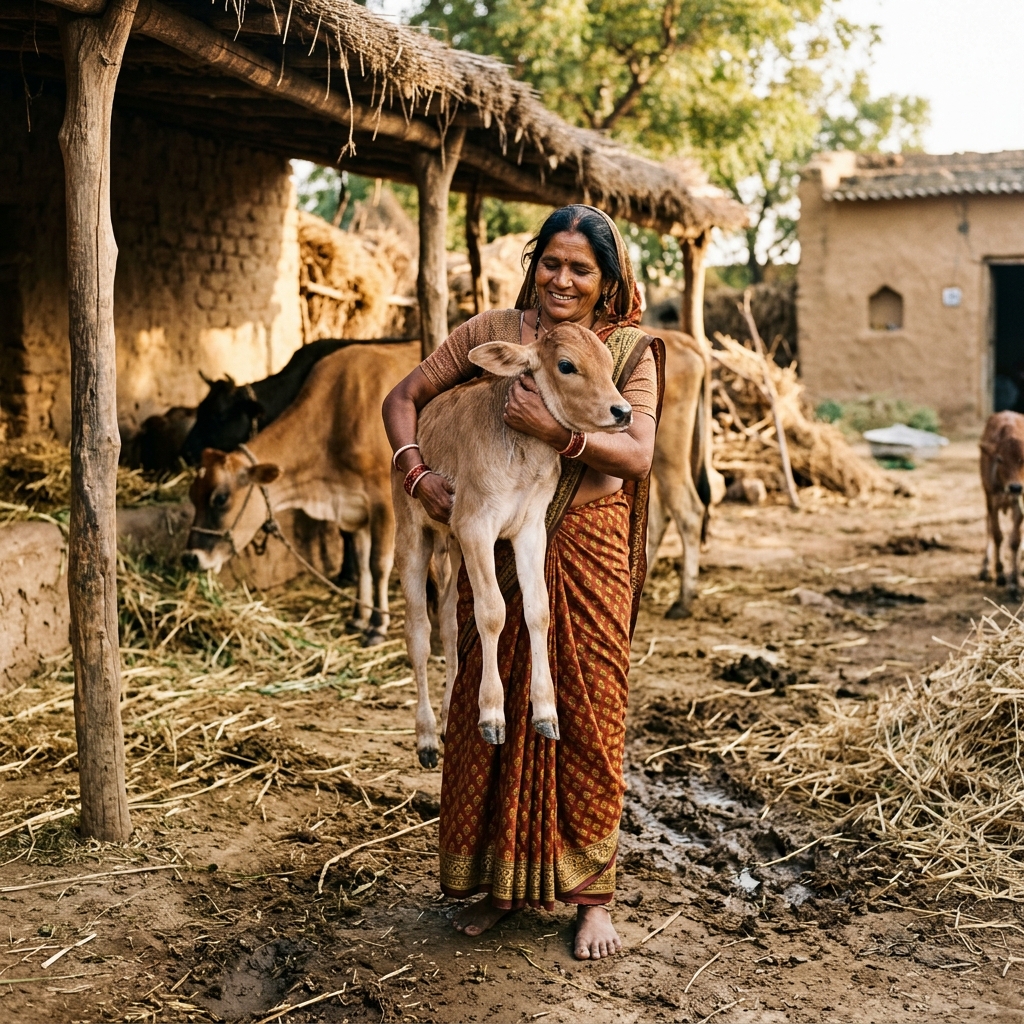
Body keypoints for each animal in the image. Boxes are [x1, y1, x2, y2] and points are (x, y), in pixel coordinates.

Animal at [183, 342, 420, 643]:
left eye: (220, 498)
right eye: (192, 496)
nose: (190, 558)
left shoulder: (382, 503)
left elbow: (378, 564)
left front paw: (377, 625)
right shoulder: (352, 508)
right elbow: (361, 563)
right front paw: (358, 617)